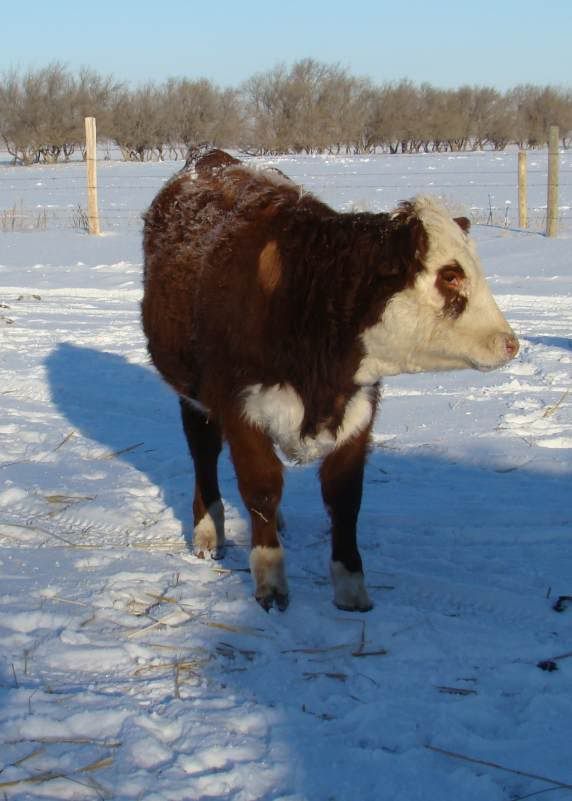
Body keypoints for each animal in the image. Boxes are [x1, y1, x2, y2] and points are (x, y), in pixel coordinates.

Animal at [141, 151, 519, 613]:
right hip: (192, 396)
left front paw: (351, 586)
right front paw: (270, 580)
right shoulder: (240, 407)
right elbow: (261, 488)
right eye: (450, 275)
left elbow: (344, 500)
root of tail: (211, 158)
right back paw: (209, 532)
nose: (510, 343)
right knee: (205, 457)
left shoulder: (358, 411)